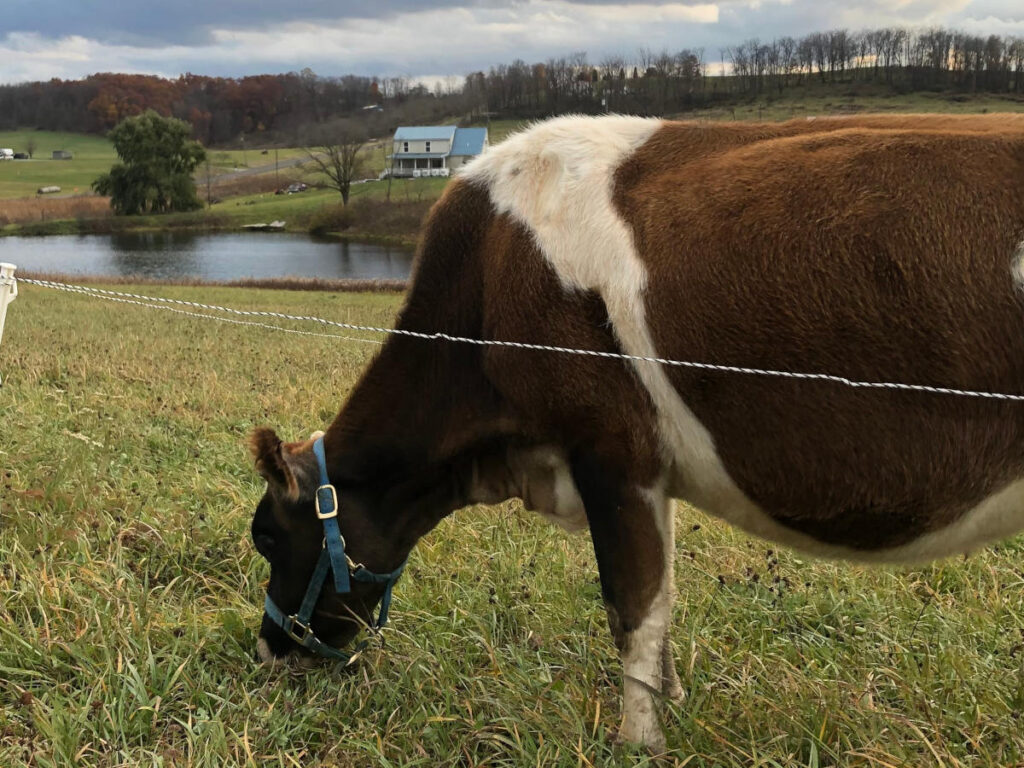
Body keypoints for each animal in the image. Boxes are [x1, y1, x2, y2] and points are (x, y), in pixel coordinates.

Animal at [249, 113, 1024, 750]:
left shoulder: (612, 454)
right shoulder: (650, 473)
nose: (267, 649)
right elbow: (663, 604)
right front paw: (672, 704)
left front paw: (639, 741)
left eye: (267, 537)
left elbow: (634, 610)